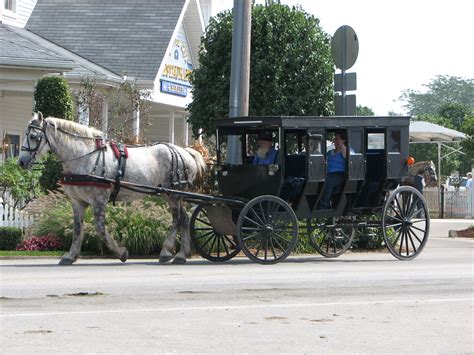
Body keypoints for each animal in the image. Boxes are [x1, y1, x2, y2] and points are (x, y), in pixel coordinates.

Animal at [17, 112, 206, 266]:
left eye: (33, 136)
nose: (21, 162)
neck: (84, 156)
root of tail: (185, 152)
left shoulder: (99, 200)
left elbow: (100, 229)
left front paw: (121, 252)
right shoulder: (77, 201)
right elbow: (77, 229)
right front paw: (71, 255)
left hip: (173, 194)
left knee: (177, 219)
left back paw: (166, 251)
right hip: (172, 195)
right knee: (185, 218)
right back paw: (181, 254)